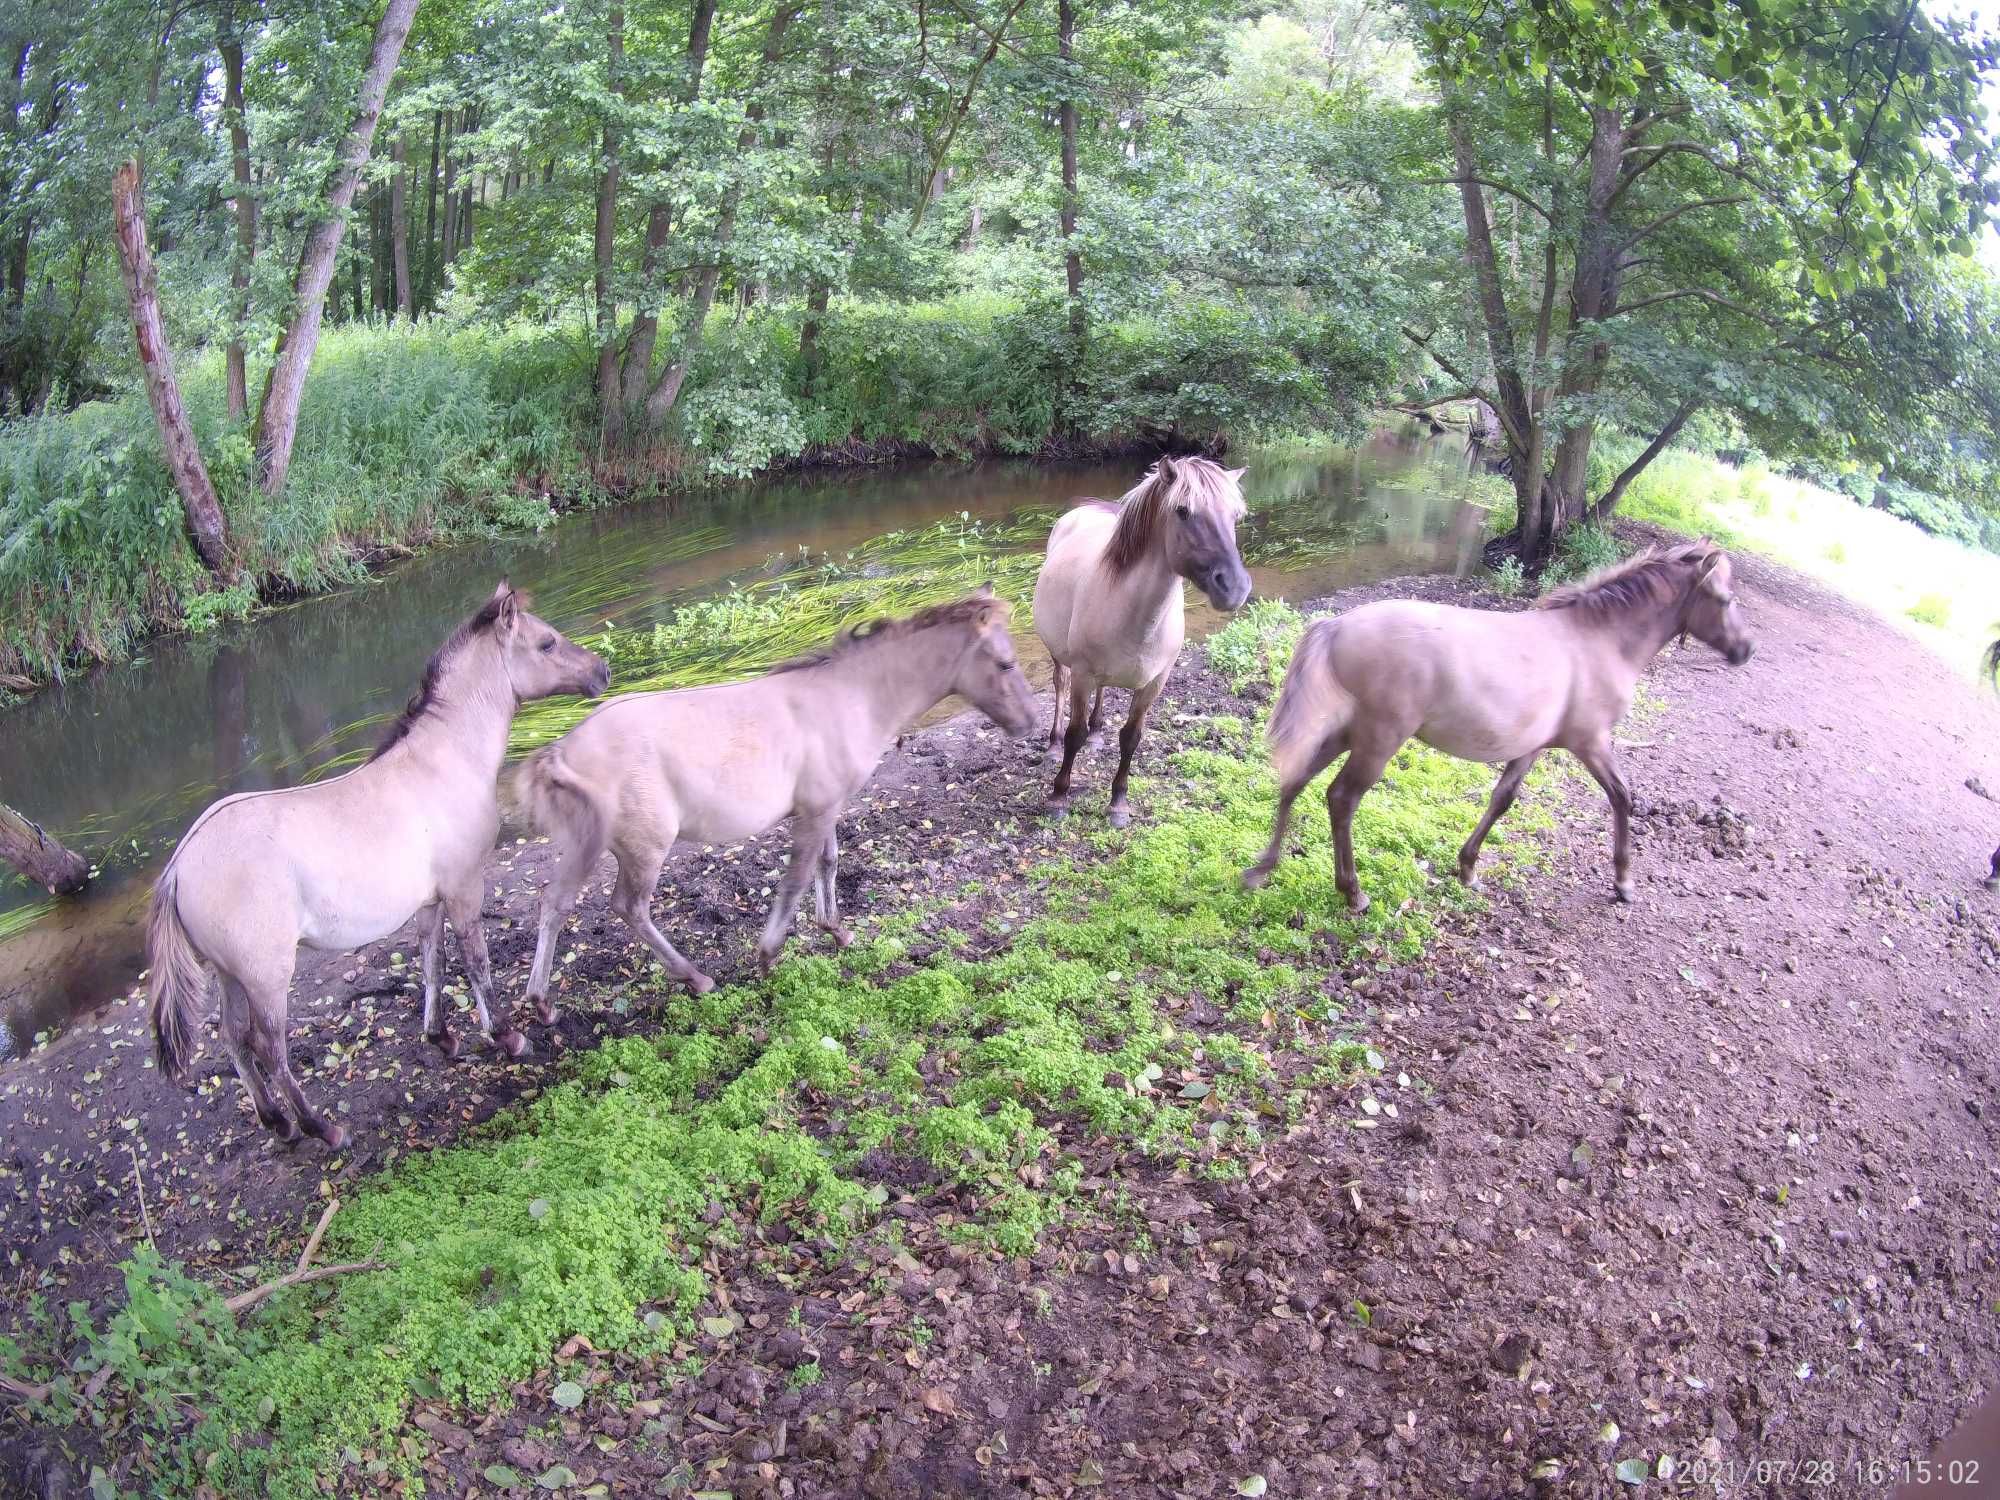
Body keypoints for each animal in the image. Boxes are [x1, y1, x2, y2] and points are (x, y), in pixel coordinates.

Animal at [147, 588, 604, 1152]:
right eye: (546, 643)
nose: (602, 671)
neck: (442, 762)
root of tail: (180, 864)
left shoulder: (429, 902)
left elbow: (432, 963)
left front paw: (442, 1038)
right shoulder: (464, 888)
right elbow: (477, 962)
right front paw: (507, 1035)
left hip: (229, 974)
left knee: (233, 1040)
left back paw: (277, 1121)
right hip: (266, 976)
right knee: (268, 1046)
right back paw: (321, 1127)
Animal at [516, 588, 1040, 1012]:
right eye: (1005, 664)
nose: (1031, 721)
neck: (852, 696)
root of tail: (560, 752)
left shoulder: (825, 806)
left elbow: (828, 863)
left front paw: (836, 930)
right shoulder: (815, 811)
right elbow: (796, 879)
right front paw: (768, 957)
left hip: (586, 845)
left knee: (555, 903)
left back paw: (541, 1003)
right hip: (646, 846)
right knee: (629, 907)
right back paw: (696, 979)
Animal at [1032, 458, 1248, 836]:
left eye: (1236, 515)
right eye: (1182, 511)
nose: (1234, 587)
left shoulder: (1153, 684)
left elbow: (1131, 738)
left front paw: (1118, 804)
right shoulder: (1083, 675)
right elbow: (1074, 734)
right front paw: (1059, 796)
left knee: (1102, 697)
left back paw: (1097, 734)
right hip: (1061, 656)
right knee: (1060, 687)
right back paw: (1053, 744)